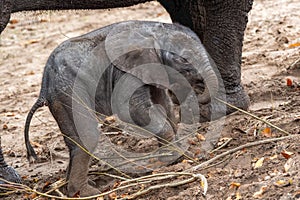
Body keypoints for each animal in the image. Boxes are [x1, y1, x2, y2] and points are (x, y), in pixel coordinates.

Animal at [24, 20, 218, 197]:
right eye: (184, 59)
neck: (153, 30)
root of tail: (43, 88)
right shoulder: (126, 71)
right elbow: (132, 109)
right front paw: (175, 158)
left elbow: (164, 104)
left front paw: (181, 155)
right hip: (68, 92)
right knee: (87, 136)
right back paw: (87, 192)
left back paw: (72, 189)